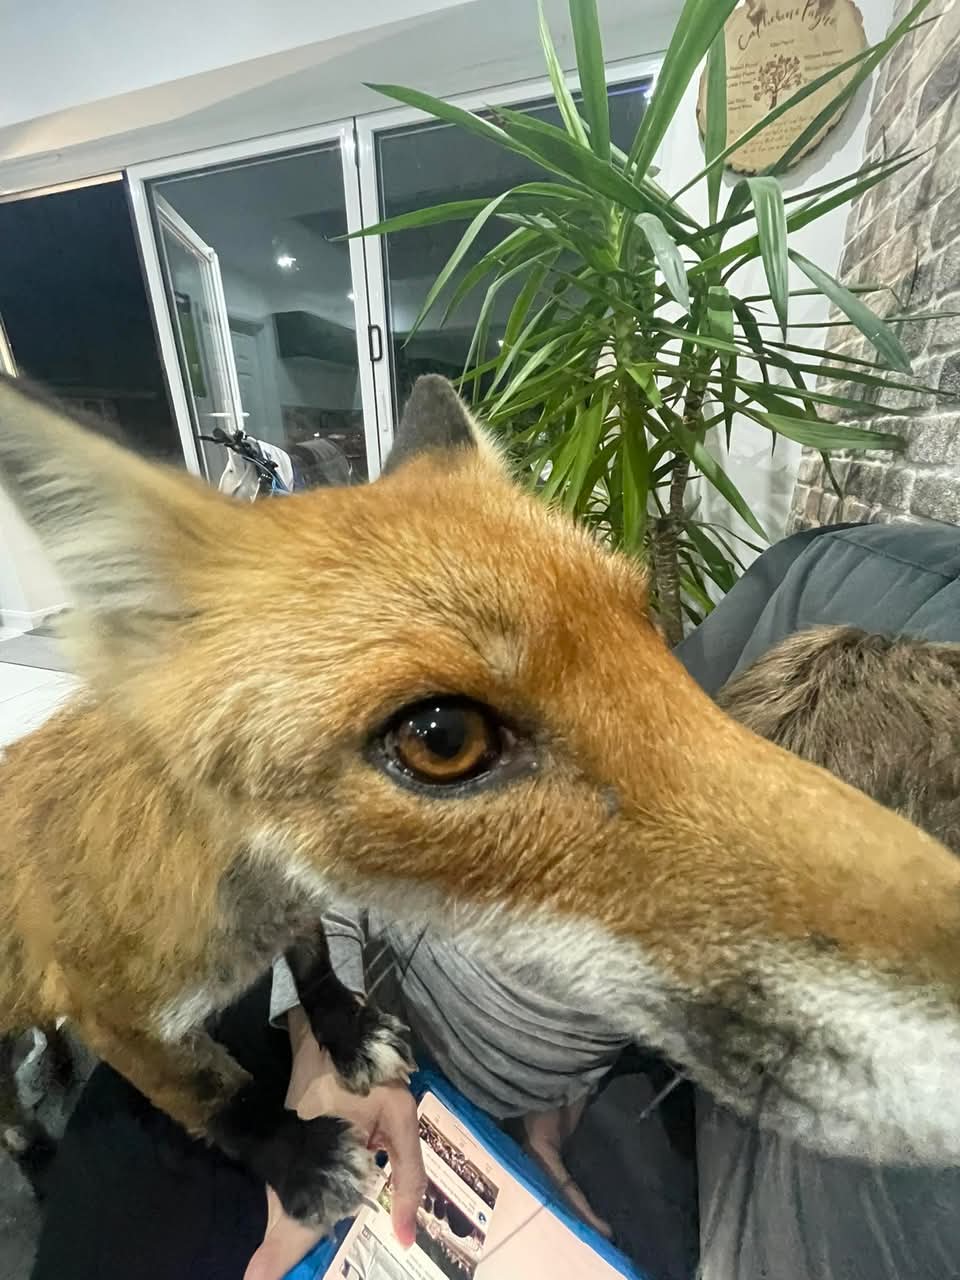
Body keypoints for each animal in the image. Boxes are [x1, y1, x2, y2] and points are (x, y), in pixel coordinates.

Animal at [1, 371, 960, 1231]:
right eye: (441, 738)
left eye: (646, 629)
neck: (245, 899)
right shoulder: (119, 1019)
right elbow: (221, 1099)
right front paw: (298, 1159)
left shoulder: (298, 909)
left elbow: (315, 968)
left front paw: (348, 1034)